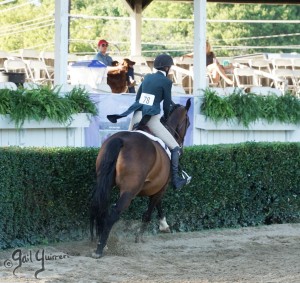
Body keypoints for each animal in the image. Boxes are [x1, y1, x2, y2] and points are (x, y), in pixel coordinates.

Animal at [90, 98, 191, 258]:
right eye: (188, 123)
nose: (181, 146)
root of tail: (121, 140)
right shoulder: (162, 187)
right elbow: (150, 211)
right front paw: (141, 235)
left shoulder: (156, 185)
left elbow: (157, 204)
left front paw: (163, 225)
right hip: (130, 190)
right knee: (113, 212)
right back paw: (100, 249)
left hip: (103, 181)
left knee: (100, 206)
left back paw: (101, 242)